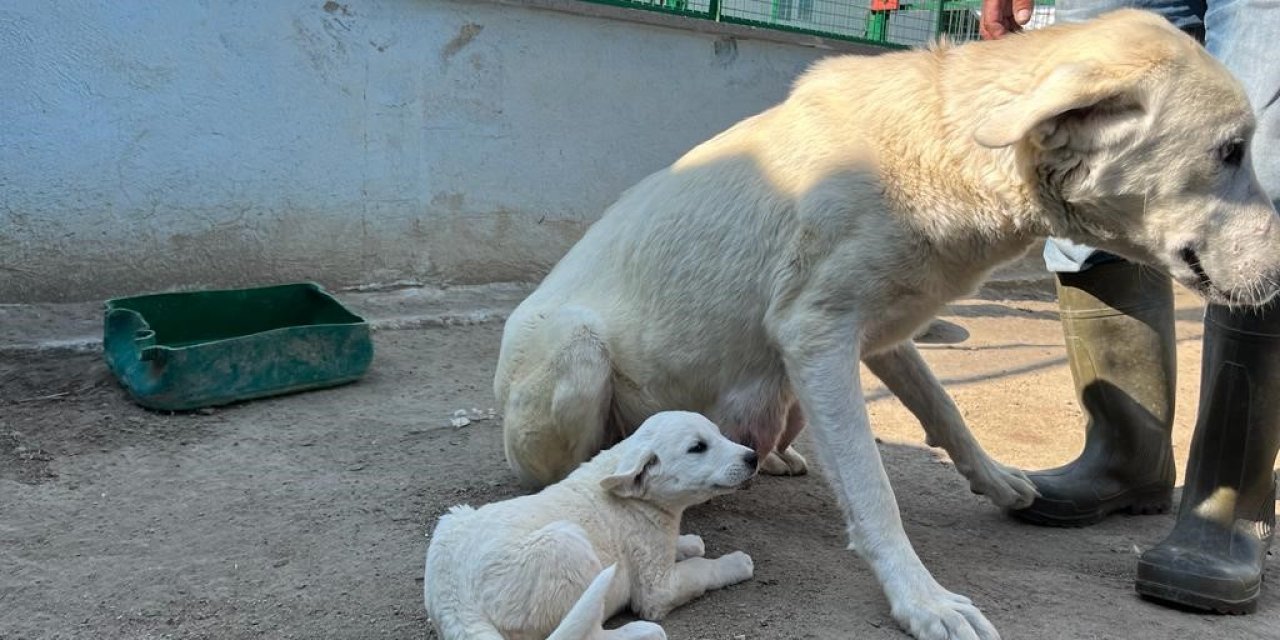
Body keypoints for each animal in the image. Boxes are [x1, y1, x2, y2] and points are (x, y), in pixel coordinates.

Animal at [419, 412, 757, 637]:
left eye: (718, 434)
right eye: (698, 447)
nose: (753, 457)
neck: (638, 498)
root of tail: (457, 605)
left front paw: (688, 543)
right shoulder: (658, 589)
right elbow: (701, 571)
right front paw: (735, 563)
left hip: (453, 518)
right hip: (567, 544)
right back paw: (642, 632)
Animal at [488, 10, 1280, 640]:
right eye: (1230, 151)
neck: (949, 147)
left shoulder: (882, 336)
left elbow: (944, 407)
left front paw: (998, 482)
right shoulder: (818, 336)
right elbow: (875, 493)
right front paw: (924, 601)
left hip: (786, 397)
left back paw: (774, 458)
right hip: (577, 352)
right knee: (568, 468)